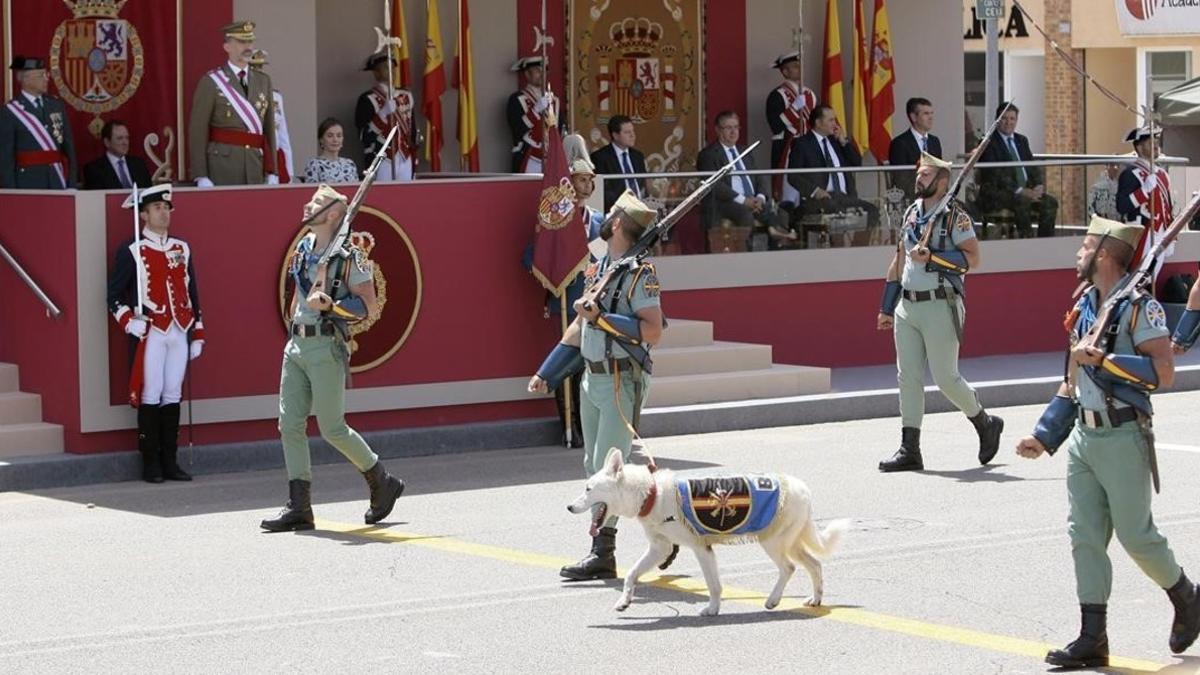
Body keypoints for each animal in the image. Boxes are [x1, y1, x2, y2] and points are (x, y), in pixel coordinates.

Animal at [566, 449, 849, 612]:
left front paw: (711, 610)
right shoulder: (660, 548)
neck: (651, 493)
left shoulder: (700, 548)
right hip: (790, 542)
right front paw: (624, 601)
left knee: (789, 568)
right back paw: (815, 599)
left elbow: (714, 585)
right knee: (815, 565)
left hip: (773, 542)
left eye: (588, 488)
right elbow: (632, 575)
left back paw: (773, 600)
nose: (568, 507)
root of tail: (802, 487)